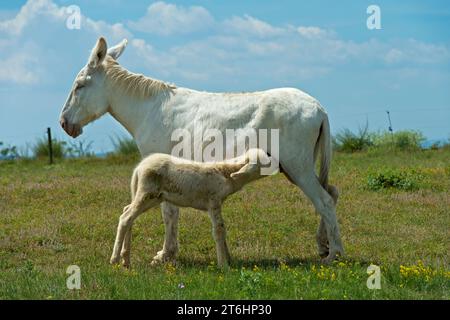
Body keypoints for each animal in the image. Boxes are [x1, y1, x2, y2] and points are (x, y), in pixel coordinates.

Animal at [110, 149, 270, 268]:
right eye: (264, 159)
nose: (272, 155)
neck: (226, 173)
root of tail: (139, 168)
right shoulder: (213, 201)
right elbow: (219, 230)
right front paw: (223, 265)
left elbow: (222, 230)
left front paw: (229, 259)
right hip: (147, 193)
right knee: (126, 218)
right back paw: (115, 259)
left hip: (152, 196)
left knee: (127, 212)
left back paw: (126, 259)